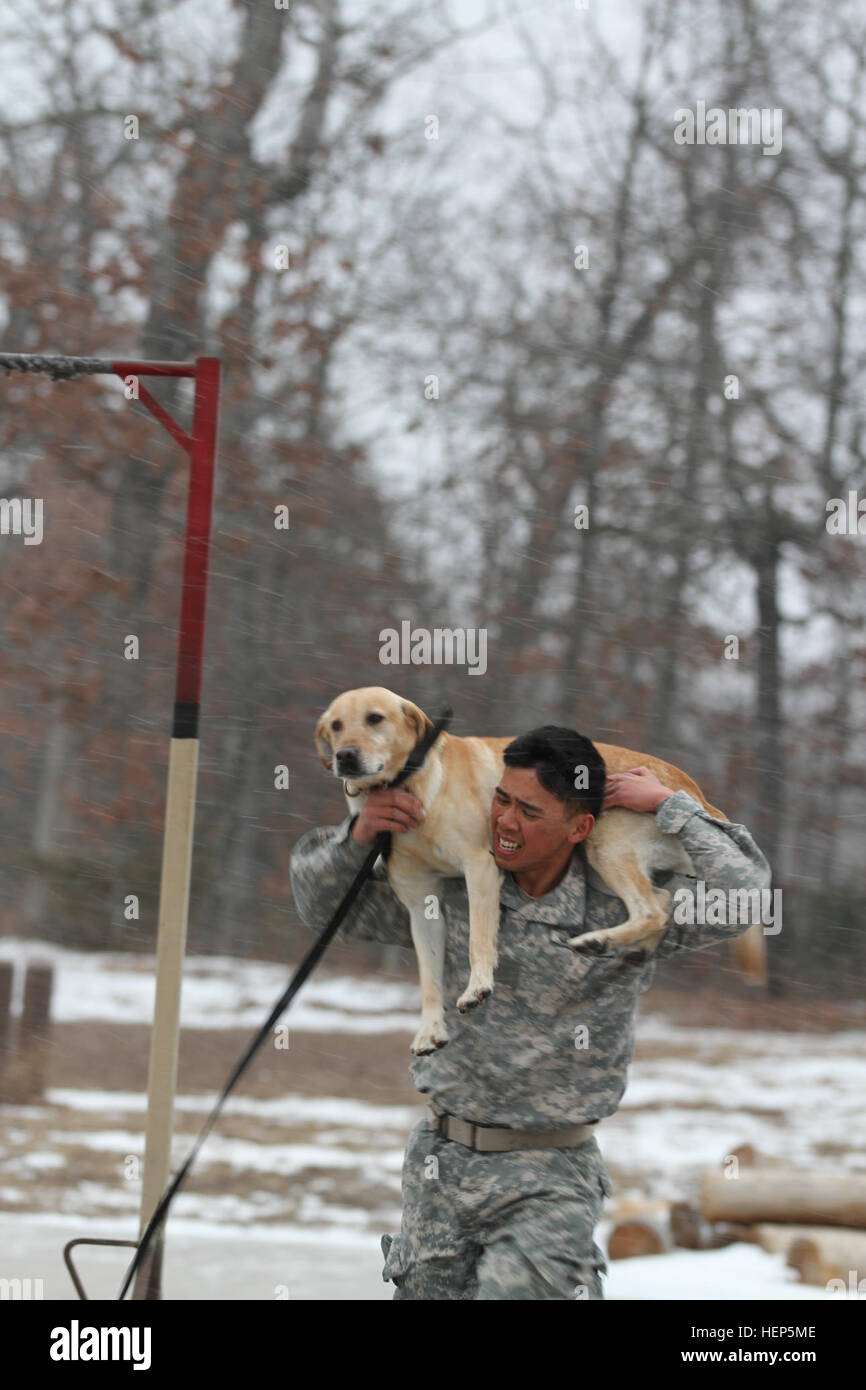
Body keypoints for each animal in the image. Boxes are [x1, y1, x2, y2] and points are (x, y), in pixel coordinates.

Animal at [315, 683, 761, 1050]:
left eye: (375, 718)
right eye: (335, 725)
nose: (345, 757)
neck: (411, 788)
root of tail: (695, 794)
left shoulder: (481, 867)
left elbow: (479, 940)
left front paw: (477, 987)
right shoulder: (419, 900)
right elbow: (428, 975)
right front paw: (430, 1031)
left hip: (605, 843)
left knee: (651, 908)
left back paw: (596, 941)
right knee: (664, 901)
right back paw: (628, 946)